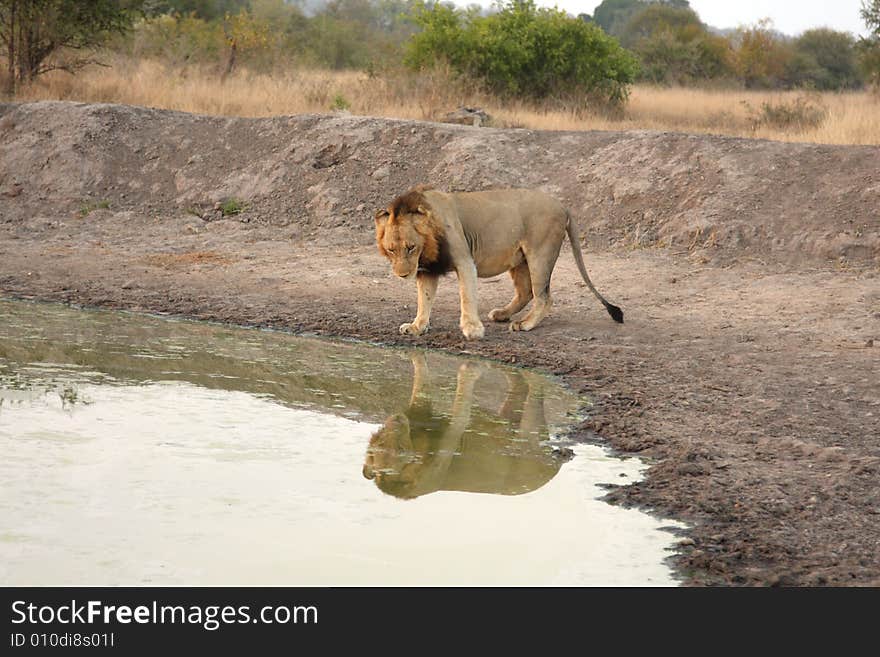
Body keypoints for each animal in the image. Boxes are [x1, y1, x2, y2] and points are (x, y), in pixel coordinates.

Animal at [374, 184, 624, 338]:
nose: (403, 275)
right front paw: (416, 327)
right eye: (391, 250)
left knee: (544, 296)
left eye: (411, 247)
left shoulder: (465, 260)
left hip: (540, 254)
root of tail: (562, 205)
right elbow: (424, 300)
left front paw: (472, 329)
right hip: (519, 259)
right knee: (526, 292)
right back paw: (502, 314)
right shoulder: (427, 270)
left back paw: (525, 324)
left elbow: (467, 296)